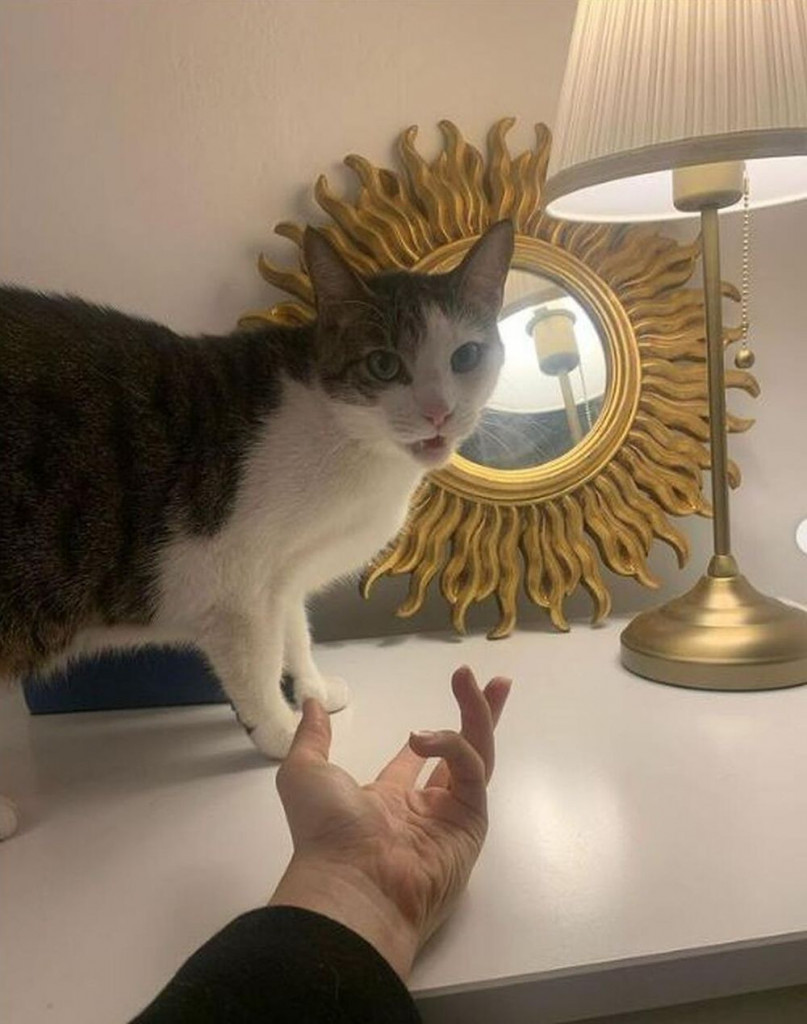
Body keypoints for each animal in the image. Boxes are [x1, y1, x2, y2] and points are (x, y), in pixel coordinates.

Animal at [0, 219, 514, 838]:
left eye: (467, 356)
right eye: (384, 365)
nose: (440, 412)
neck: (347, 437)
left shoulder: (283, 573)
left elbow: (295, 628)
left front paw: (313, 692)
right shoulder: (232, 583)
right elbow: (259, 662)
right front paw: (287, 735)